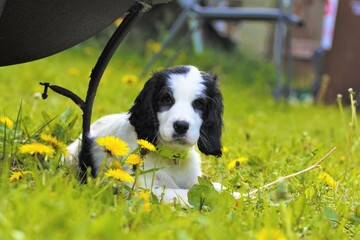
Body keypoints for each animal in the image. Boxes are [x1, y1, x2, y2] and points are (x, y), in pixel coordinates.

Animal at [67, 65, 231, 204]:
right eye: (166, 98)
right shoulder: (141, 188)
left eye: (199, 103)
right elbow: (185, 193)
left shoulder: (193, 180)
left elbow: (213, 186)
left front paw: (235, 194)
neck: (171, 157)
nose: (181, 126)